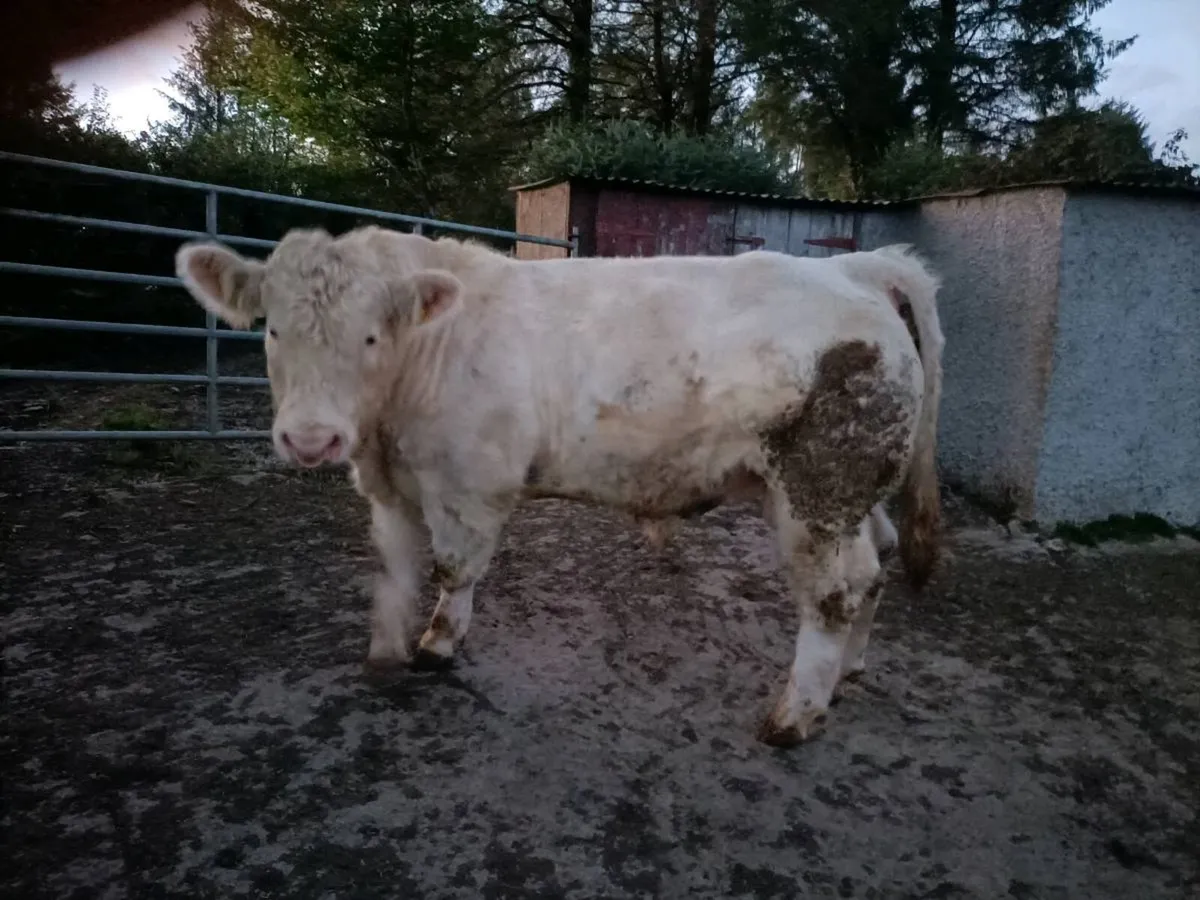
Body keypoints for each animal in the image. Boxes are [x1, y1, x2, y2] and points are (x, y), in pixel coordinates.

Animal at [174, 225, 944, 746]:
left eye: (370, 336)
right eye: (272, 330)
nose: (311, 440)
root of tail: (855, 268)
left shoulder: (469, 485)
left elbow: (453, 570)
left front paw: (437, 645)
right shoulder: (391, 489)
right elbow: (393, 572)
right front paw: (385, 655)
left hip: (818, 488)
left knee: (836, 591)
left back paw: (796, 714)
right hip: (852, 492)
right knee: (877, 563)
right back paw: (848, 674)